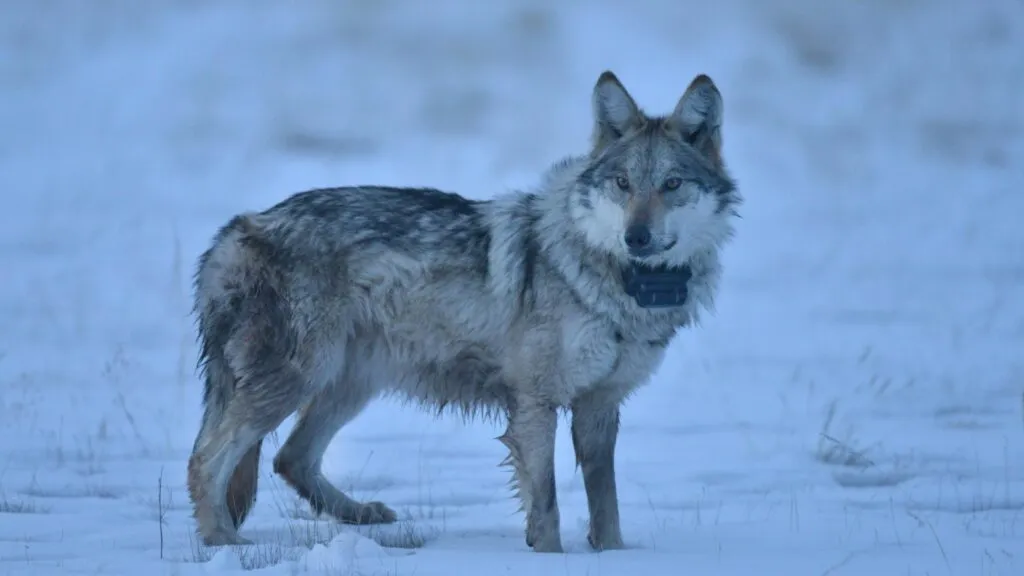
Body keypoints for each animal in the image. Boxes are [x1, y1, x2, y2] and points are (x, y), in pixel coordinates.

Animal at [186, 70, 740, 552]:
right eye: (623, 183)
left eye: (671, 184)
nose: (636, 237)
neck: (616, 280)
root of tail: (235, 229)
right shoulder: (536, 404)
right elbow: (547, 506)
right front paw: (551, 558)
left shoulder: (599, 408)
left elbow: (607, 511)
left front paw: (616, 557)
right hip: (300, 380)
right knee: (205, 459)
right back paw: (224, 544)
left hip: (349, 383)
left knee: (289, 458)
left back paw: (362, 515)